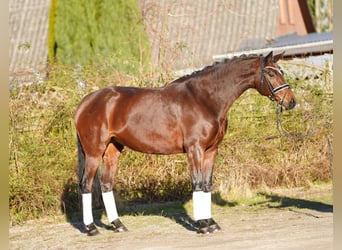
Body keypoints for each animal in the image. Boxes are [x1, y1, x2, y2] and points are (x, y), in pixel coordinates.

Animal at [75, 51, 296, 235]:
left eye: (282, 71)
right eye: (271, 73)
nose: (291, 101)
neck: (204, 99)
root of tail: (85, 102)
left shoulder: (211, 150)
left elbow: (206, 184)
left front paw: (211, 223)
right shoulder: (194, 150)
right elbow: (197, 183)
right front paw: (202, 226)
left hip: (112, 150)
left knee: (106, 184)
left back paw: (118, 225)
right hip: (94, 152)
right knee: (86, 185)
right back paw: (91, 228)